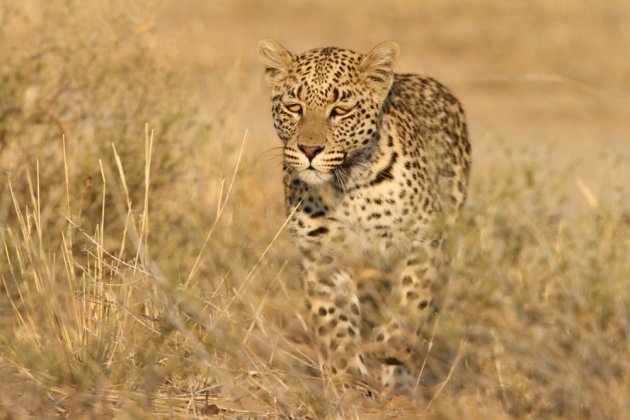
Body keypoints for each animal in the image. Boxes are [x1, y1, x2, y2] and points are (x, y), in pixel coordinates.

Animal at [260, 37, 472, 396]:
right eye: (294, 107)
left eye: (340, 110)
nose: (309, 150)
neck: (347, 184)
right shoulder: (321, 253)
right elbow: (333, 318)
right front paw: (348, 375)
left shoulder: (424, 240)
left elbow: (412, 297)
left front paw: (392, 345)